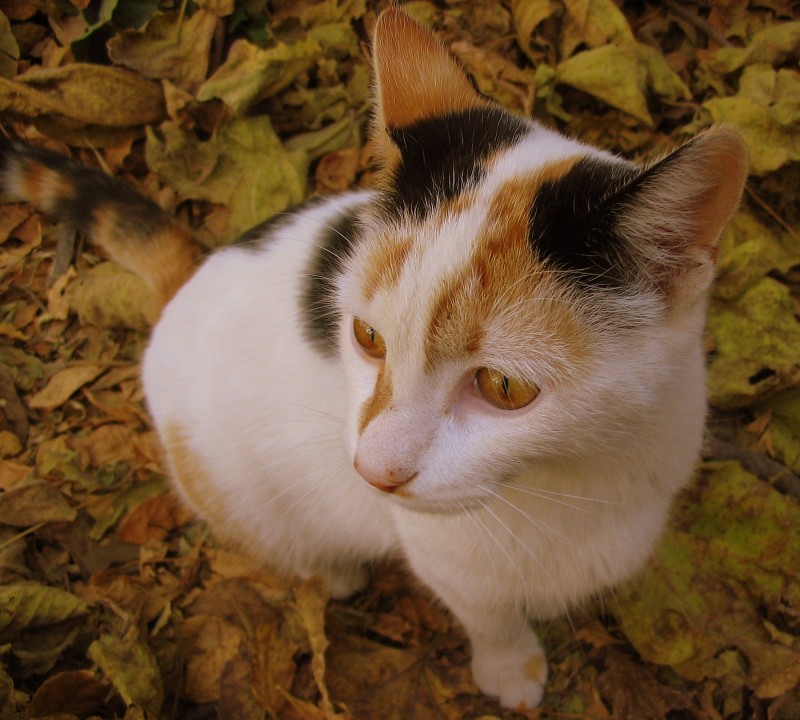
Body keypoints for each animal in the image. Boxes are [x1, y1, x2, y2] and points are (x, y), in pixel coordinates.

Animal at [3, 8, 748, 712]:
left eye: (504, 386)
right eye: (365, 336)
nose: (372, 473)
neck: (576, 475)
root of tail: (192, 275)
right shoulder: (448, 562)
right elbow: (489, 616)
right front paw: (510, 666)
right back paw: (333, 571)